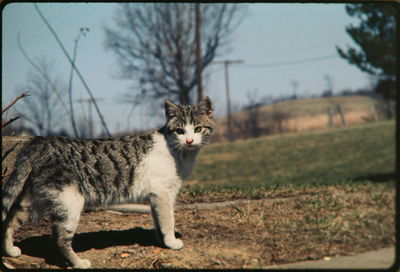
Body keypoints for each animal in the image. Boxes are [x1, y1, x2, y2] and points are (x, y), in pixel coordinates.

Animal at [1, 95, 214, 268]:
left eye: (198, 129)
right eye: (179, 131)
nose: (189, 141)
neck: (179, 151)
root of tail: (42, 142)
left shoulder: (156, 197)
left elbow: (158, 221)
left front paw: (161, 242)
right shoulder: (163, 193)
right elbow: (168, 220)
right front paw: (172, 242)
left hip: (37, 201)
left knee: (11, 219)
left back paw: (10, 251)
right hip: (69, 202)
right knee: (59, 237)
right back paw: (79, 263)